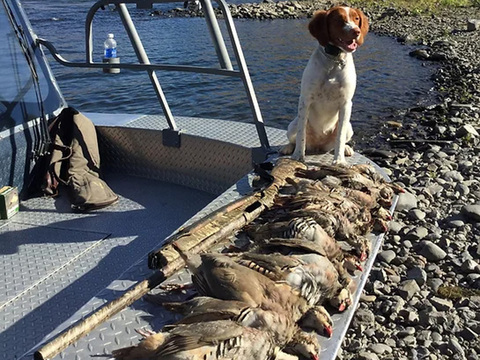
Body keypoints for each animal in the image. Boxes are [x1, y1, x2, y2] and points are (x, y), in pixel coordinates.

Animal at [284, 5, 370, 165]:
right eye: (338, 20)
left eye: (356, 18)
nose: (356, 31)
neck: (334, 60)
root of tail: (318, 145)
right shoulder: (305, 100)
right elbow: (301, 134)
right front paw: (298, 156)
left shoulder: (346, 104)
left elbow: (340, 138)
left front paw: (339, 161)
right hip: (292, 125)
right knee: (294, 136)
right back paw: (288, 148)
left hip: (349, 127)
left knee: (338, 142)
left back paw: (346, 149)